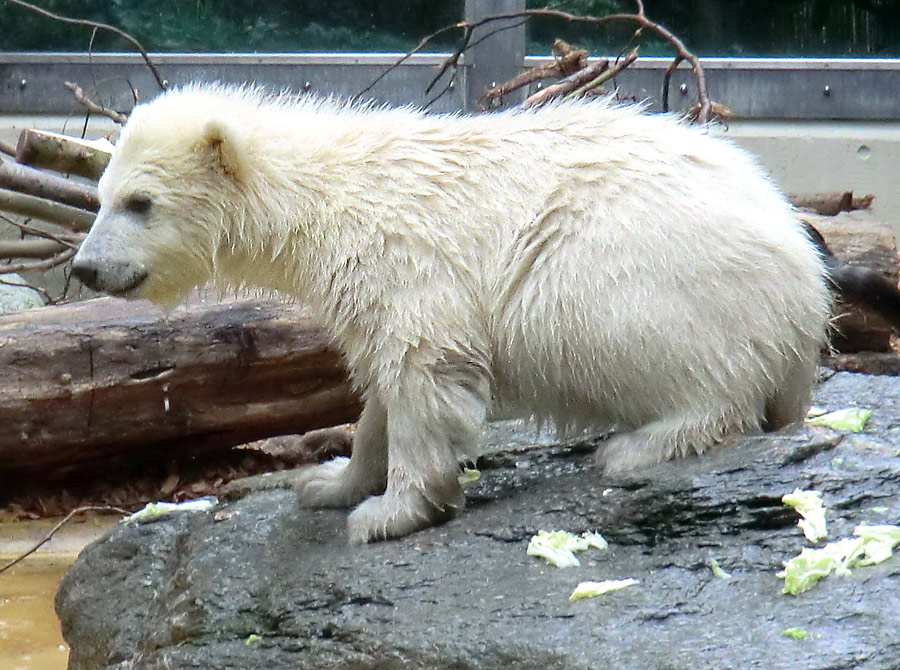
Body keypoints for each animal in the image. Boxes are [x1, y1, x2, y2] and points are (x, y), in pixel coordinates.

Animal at [74, 85, 832, 544]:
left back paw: (638, 444)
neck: (322, 198)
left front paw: (389, 513)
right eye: (101, 194)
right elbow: (378, 388)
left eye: (140, 202)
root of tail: (809, 285)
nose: (85, 268)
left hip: (646, 273)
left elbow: (423, 369)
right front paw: (330, 482)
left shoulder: (403, 256)